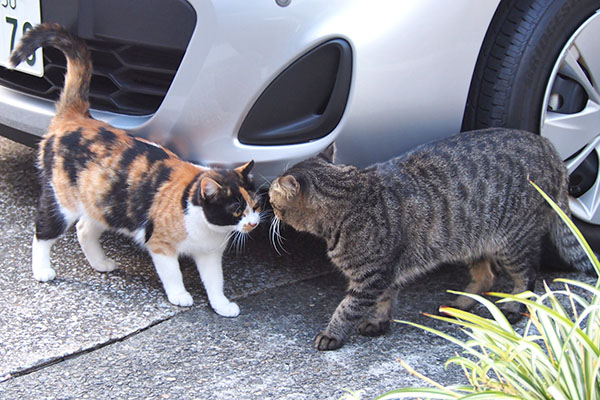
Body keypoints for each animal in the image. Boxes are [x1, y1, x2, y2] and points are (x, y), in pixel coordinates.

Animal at [11, 22, 262, 316]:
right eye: (236, 208)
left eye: (256, 205)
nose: (254, 223)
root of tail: (76, 116)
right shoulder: (161, 246)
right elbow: (173, 273)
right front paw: (180, 295)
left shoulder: (209, 254)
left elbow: (215, 281)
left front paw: (221, 305)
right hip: (62, 202)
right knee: (43, 232)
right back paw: (42, 270)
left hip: (103, 202)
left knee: (84, 229)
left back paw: (100, 263)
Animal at [270, 129, 592, 350]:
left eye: (273, 199)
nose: (267, 206)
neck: (350, 196)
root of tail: (549, 147)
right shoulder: (385, 272)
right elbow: (385, 300)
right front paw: (379, 322)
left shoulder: (371, 276)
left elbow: (347, 308)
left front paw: (332, 333)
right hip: (471, 241)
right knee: (487, 276)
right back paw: (461, 304)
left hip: (513, 241)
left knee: (526, 278)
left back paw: (513, 307)